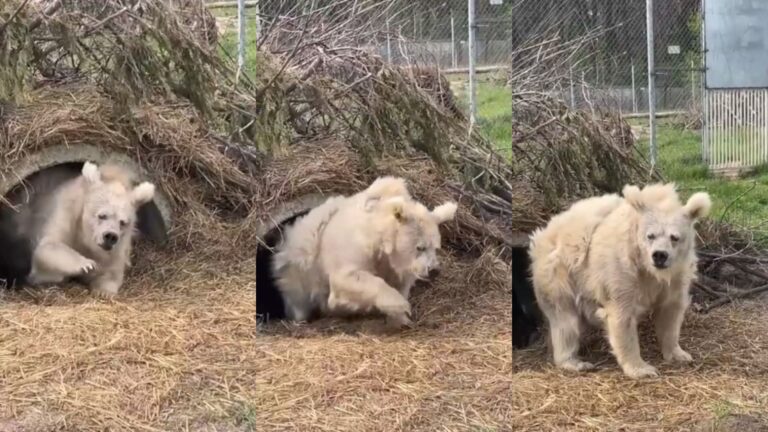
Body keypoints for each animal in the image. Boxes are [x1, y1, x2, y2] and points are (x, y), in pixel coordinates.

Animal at [20, 161, 155, 298]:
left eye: (122, 222)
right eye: (102, 215)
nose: (110, 236)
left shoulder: (119, 248)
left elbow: (112, 272)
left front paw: (103, 291)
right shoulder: (66, 214)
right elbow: (48, 247)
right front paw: (87, 265)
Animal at [270, 176, 458, 327]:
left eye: (436, 247)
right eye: (420, 247)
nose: (434, 270)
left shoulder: (393, 265)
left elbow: (400, 282)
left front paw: (401, 318)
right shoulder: (352, 249)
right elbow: (348, 279)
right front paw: (400, 305)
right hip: (299, 268)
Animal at [528, 183, 711, 379]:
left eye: (674, 237)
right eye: (650, 235)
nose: (659, 255)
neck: (647, 268)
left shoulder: (676, 276)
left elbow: (670, 311)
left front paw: (680, 354)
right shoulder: (622, 271)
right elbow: (622, 316)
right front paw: (642, 369)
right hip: (560, 273)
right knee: (565, 319)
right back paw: (575, 362)